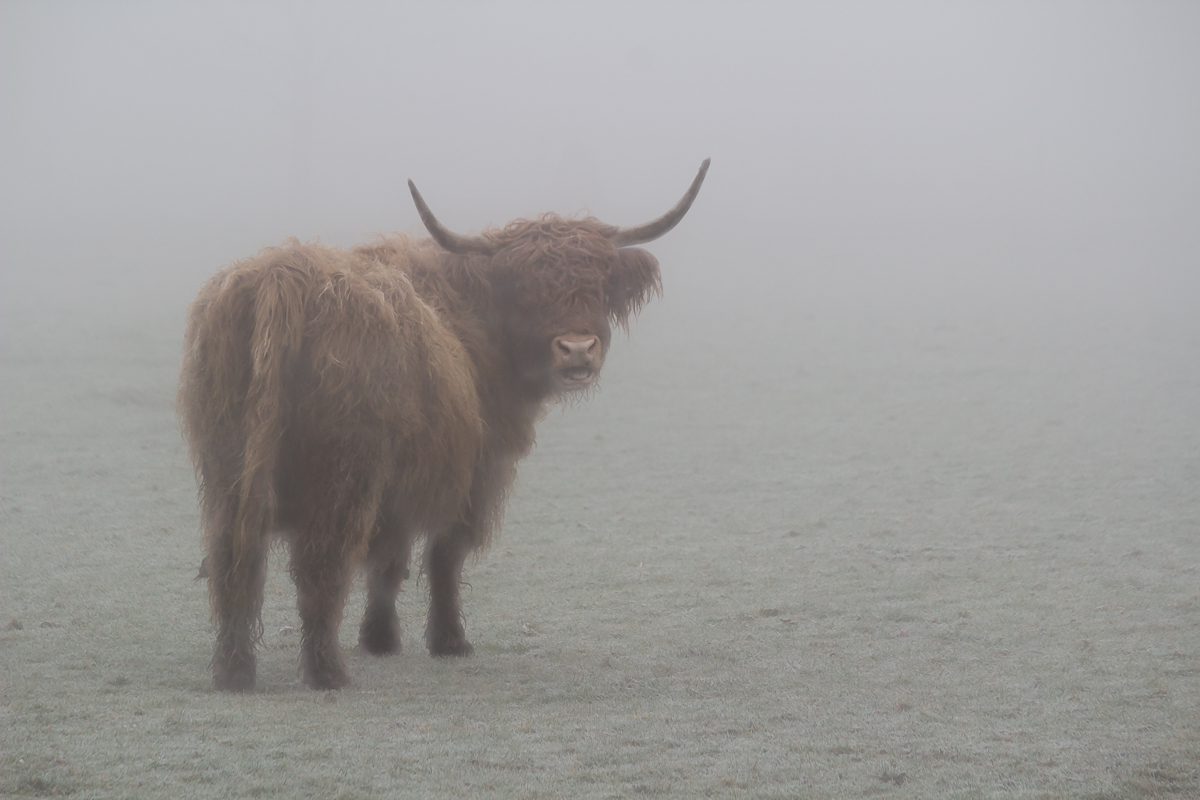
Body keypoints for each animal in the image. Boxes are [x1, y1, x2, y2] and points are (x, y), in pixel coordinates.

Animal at [174, 159, 705, 690]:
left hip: (228, 467)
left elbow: (389, 562)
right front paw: (447, 641)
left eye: (599, 281)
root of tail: (281, 277)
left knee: (233, 557)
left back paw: (234, 669)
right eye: (525, 289)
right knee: (319, 562)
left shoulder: (400, 488)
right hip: (343, 475)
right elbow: (442, 555)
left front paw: (380, 638)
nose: (577, 349)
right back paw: (327, 672)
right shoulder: (473, 474)